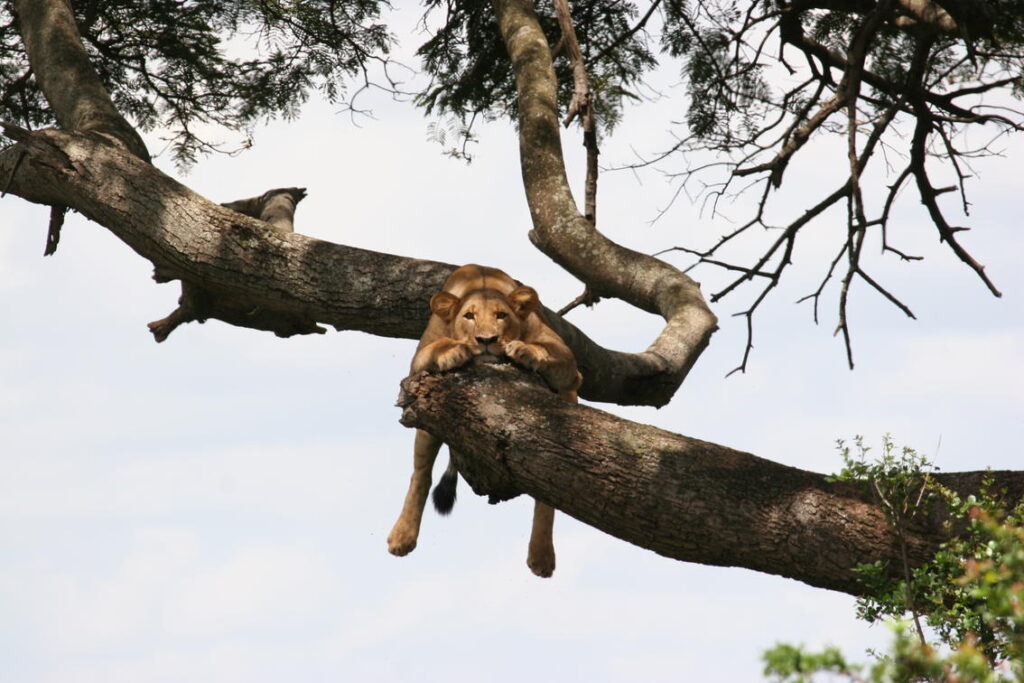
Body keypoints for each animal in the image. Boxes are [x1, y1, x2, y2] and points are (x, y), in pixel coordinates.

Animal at [387, 264, 582, 577]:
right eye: (469, 316)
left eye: (501, 316)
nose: (487, 340)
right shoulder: (417, 363)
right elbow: (437, 347)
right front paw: (455, 350)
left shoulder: (571, 369)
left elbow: (548, 353)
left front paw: (523, 350)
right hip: (426, 423)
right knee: (421, 474)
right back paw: (402, 537)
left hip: (567, 399)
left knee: (547, 491)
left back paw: (541, 555)